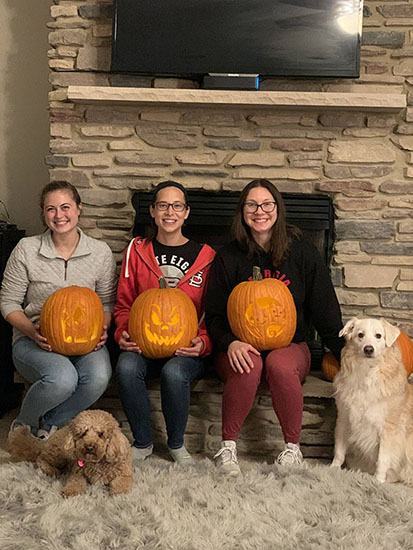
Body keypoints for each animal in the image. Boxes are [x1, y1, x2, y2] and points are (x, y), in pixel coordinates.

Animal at [332, 316, 412, 486]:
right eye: (360, 335)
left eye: (378, 336)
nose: (368, 349)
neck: (367, 372)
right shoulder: (344, 419)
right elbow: (339, 451)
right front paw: (332, 469)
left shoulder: (388, 430)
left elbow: (382, 459)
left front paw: (378, 481)